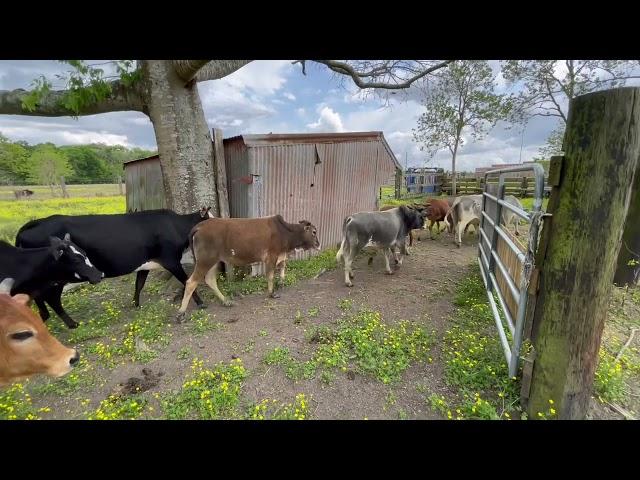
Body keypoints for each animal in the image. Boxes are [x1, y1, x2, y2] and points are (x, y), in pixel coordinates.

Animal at [14, 204, 212, 328]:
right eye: (212, 218)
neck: (175, 226)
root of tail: (36, 222)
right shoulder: (171, 260)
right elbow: (187, 281)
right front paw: (200, 303)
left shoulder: (144, 264)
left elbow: (139, 284)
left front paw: (136, 305)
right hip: (58, 277)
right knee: (53, 299)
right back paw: (72, 324)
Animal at [175, 214, 322, 318]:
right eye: (314, 232)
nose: (319, 244)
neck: (285, 234)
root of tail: (199, 226)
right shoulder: (271, 256)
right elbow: (270, 275)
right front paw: (272, 293)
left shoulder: (280, 256)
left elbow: (281, 269)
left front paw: (280, 283)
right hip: (205, 260)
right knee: (191, 282)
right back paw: (181, 312)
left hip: (214, 261)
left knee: (210, 280)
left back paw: (226, 301)